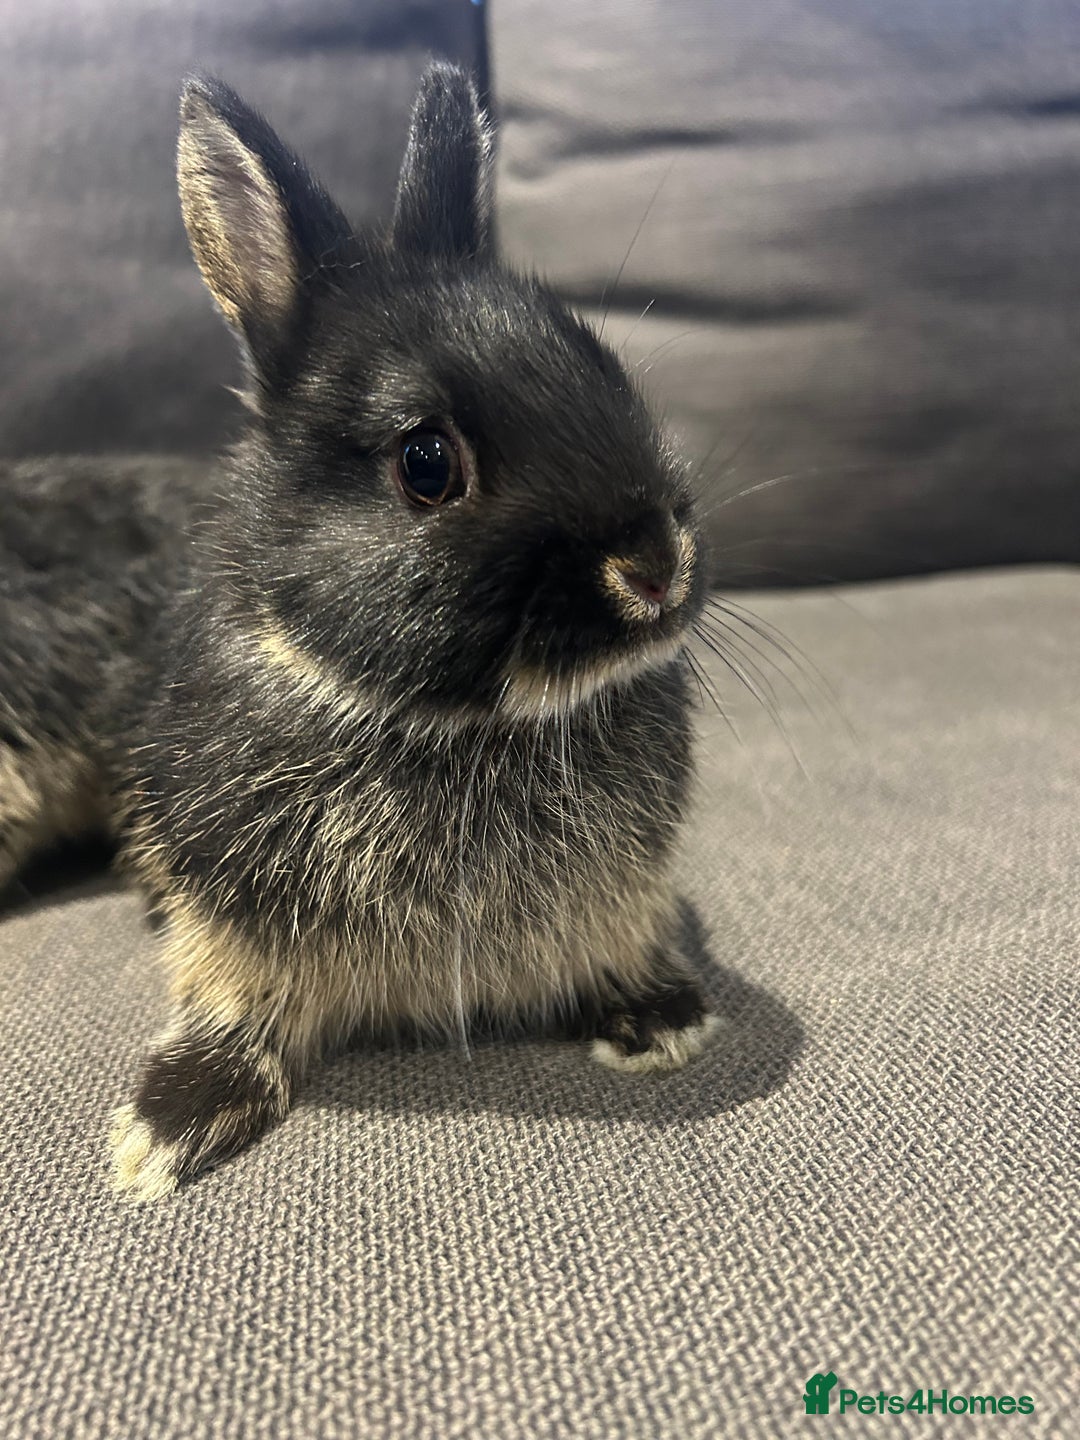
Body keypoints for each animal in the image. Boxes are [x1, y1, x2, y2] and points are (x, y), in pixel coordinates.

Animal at [0, 63, 720, 1201]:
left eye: (599, 362)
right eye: (426, 463)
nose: (656, 568)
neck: (446, 724)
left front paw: (664, 1022)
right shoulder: (230, 927)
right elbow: (230, 1006)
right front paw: (167, 1128)